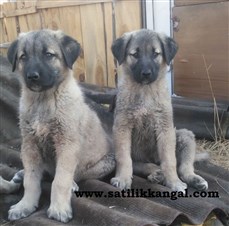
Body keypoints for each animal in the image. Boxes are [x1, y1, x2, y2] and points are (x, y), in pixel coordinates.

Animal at [6, 29, 115, 222]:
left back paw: (72, 184)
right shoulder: (30, 145)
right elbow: (31, 180)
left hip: (105, 163)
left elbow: (60, 179)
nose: (32, 76)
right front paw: (24, 205)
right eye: (23, 57)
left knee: (74, 174)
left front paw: (59, 208)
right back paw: (21, 174)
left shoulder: (67, 144)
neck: (43, 100)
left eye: (49, 55)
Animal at [110, 29, 208, 192]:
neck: (145, 90)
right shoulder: (122, 127)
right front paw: (122, 178)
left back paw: (193, 179)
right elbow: (124, 158)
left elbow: (169, 160)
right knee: (141, 165)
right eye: (135, 54)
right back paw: (156, 174)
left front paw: (174, 182)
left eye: (155, 54)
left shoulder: (165, 127)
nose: (146, 73)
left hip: (184, 136)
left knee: (184, 167)